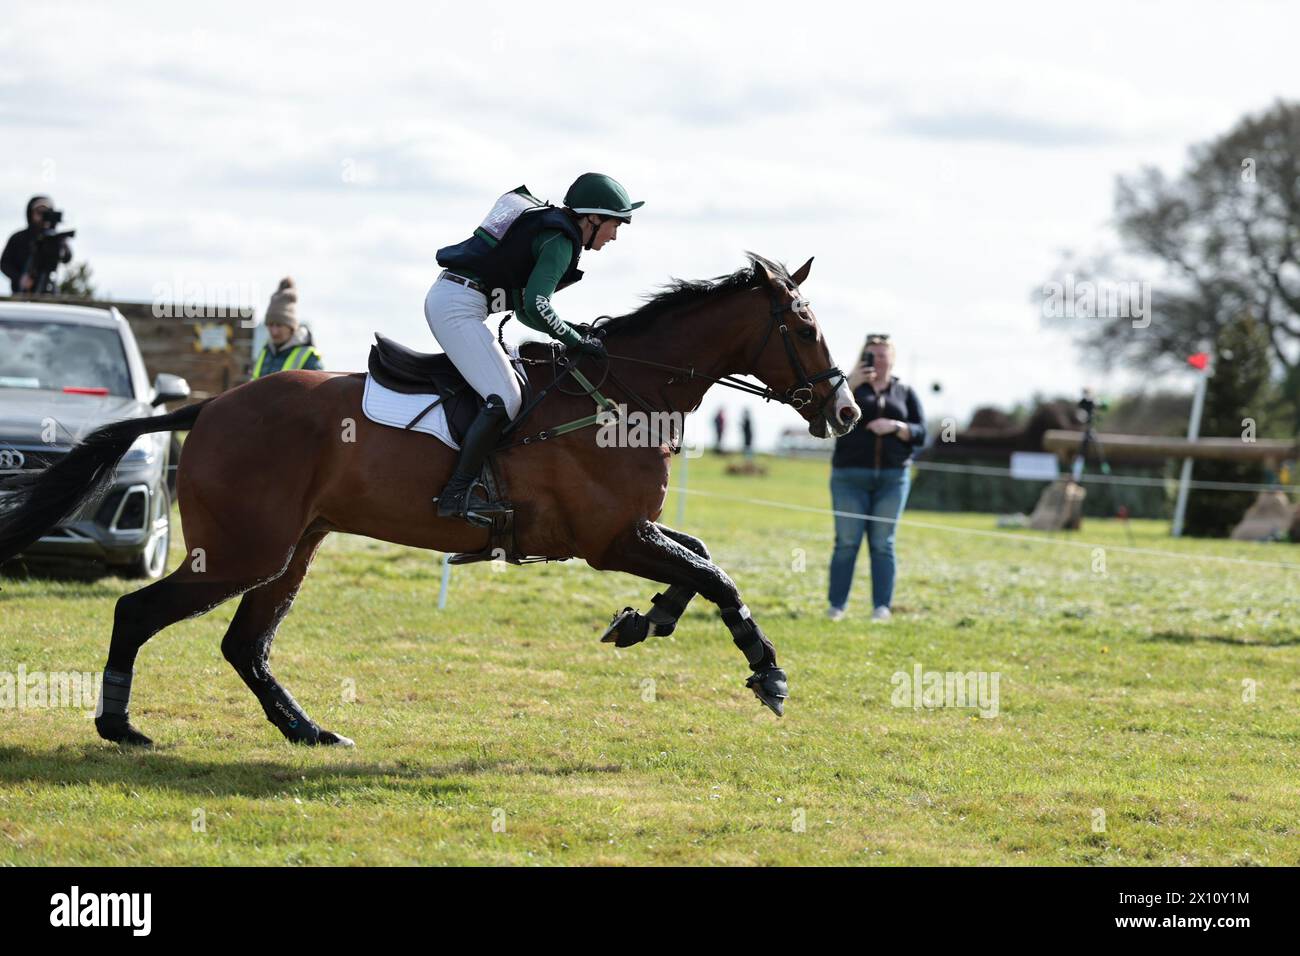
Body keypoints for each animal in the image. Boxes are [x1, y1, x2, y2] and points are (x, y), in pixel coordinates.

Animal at [0, 256, 863, 749]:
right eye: (804, 328)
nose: (848, 413)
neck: (625, 389)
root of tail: (206, 407)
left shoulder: (630, 528)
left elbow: (701, 563)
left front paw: (641, 621)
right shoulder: (607, 539)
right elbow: (719, 578)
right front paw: (768, 674)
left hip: (291, 550)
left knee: (247, 645)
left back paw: (307, 731)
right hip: (244, 551)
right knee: (138, 611)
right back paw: (119, 726)